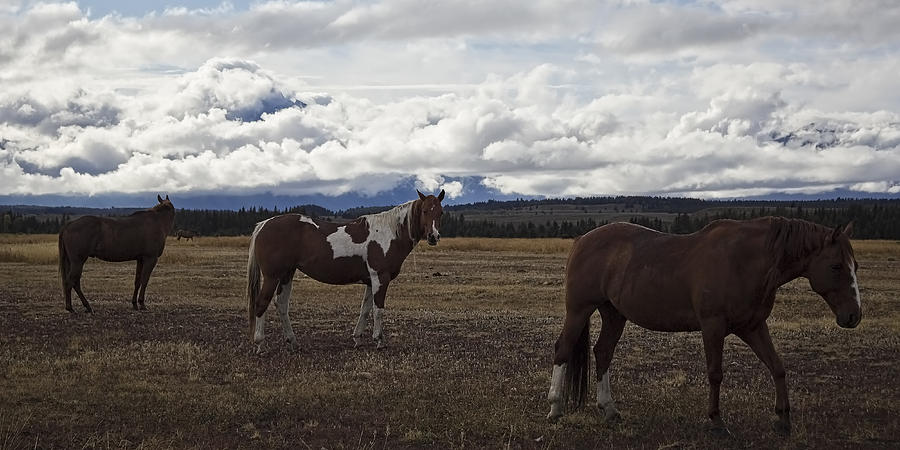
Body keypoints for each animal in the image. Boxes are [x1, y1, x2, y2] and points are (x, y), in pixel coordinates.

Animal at [248, 189, 444, 352]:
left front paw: (358, 339)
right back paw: (260, 344)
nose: (433, 237)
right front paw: (379, 340)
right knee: (261, 303)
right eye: (425, 211)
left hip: (287, 274)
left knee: (281, 304)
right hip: (272, 276)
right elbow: (378, 309)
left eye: (440, 212)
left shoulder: (370, 281)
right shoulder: (380, 277)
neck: (388, 234)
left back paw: (292, 342)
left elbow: (365, 309)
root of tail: (264, 224)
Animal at [544, 216, 860, 434]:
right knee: (563, 349)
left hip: (614, 313)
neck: (744, 262)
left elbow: (777, 367)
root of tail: (582, 239)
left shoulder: (753, 326)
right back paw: (555, 408)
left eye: (855, 266)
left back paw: (609, 409)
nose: (854, 316)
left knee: (603, 353)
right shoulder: (713, 326)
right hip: (579, 309)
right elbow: (715, 373)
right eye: (836, 266)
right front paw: (717, 422)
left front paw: (783, 419)